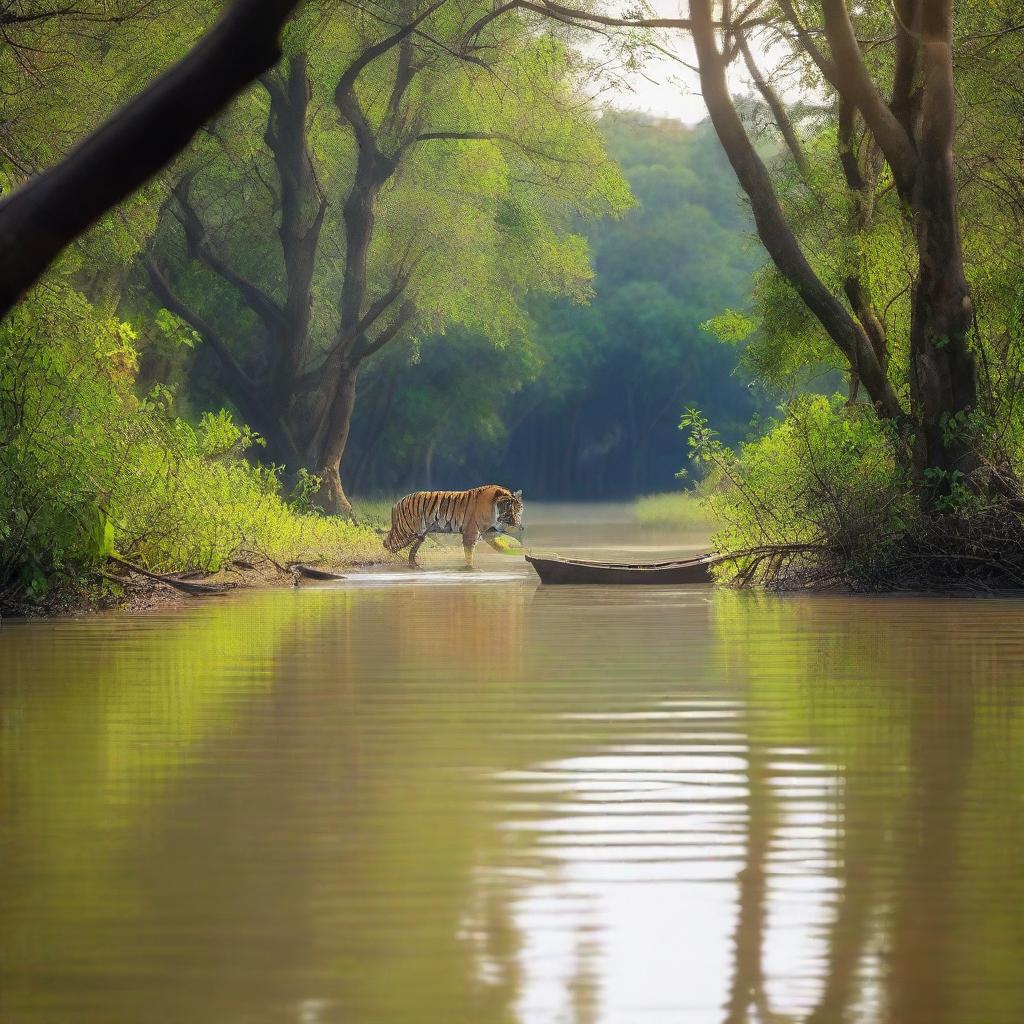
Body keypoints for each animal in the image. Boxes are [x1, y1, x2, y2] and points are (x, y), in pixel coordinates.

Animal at [385, 485, 528, 569]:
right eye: (509, 510)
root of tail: (396, 503)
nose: (519, 525)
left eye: (519, 510)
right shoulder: (471, 533)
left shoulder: (488, 532)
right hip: (406, 531)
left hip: (420, 535)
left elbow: (501, 543)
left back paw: (413, 565)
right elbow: (469, 554)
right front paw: (470, 568)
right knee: (388, 544)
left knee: (410, 549)